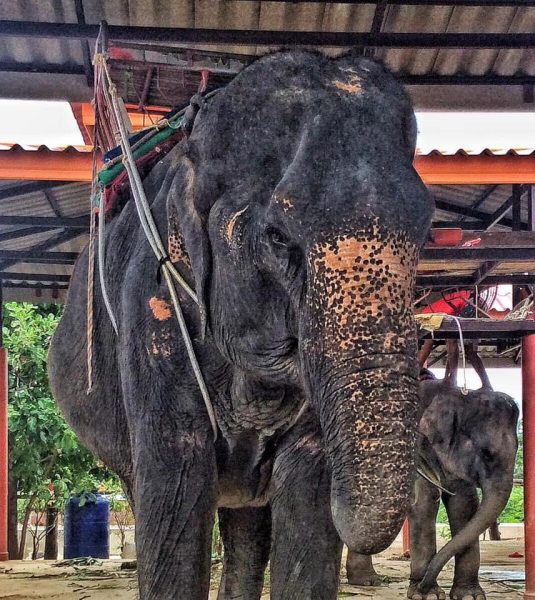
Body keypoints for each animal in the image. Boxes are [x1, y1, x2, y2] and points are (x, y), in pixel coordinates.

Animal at [48, 51, 434, 600]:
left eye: (426, 231)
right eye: (277, 236)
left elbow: (306, 495)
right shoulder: (154, 306)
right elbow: (174, 490)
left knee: (248, 528)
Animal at [348, 382, 520, 596]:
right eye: (487, 453)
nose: (422, 583)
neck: (459, 395)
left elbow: (465, 506)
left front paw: (469, 595)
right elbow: (424, 502)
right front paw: (426, 595)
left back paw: (366, 581)